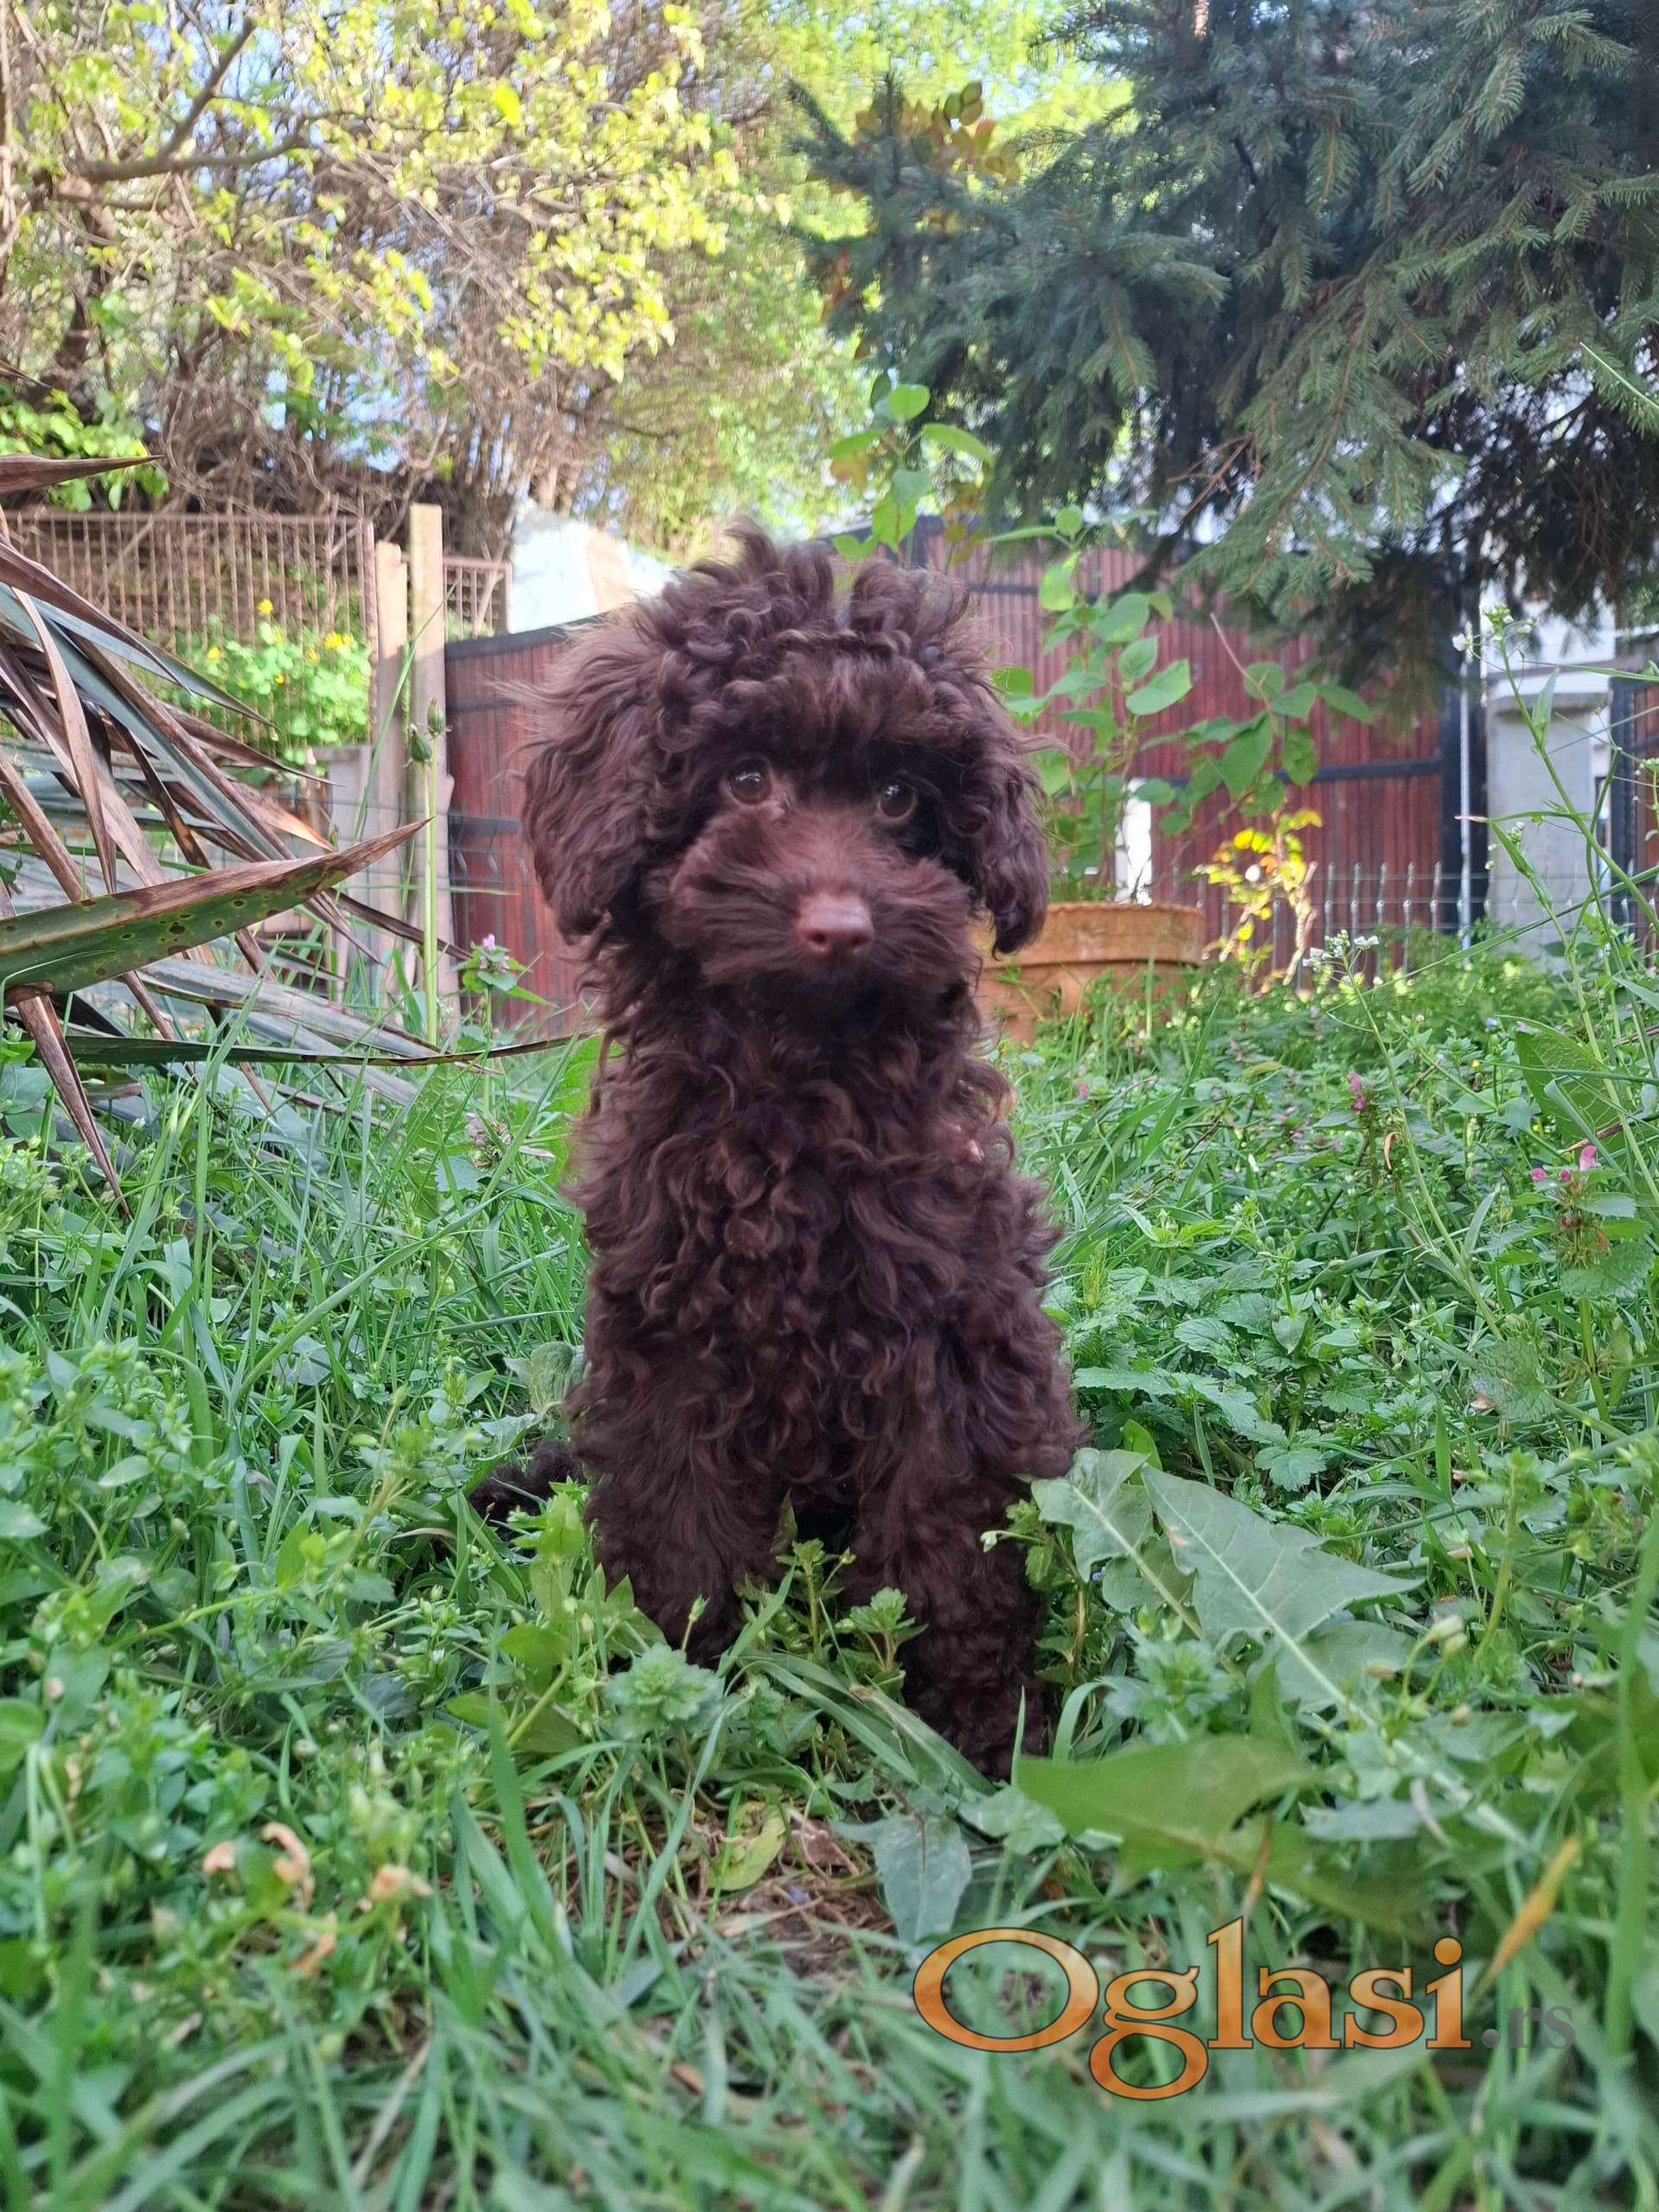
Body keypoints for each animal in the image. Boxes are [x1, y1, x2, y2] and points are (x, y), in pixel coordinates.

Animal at [470, 528, 1082, 1773]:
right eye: (745, 779)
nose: (841, 926)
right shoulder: (666, 1330)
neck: (797, 1092)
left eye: (900, 797)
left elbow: (946, 1548)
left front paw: (981, 1733)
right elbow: (678, 1512)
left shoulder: (948, 1332)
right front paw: (682, 1678)